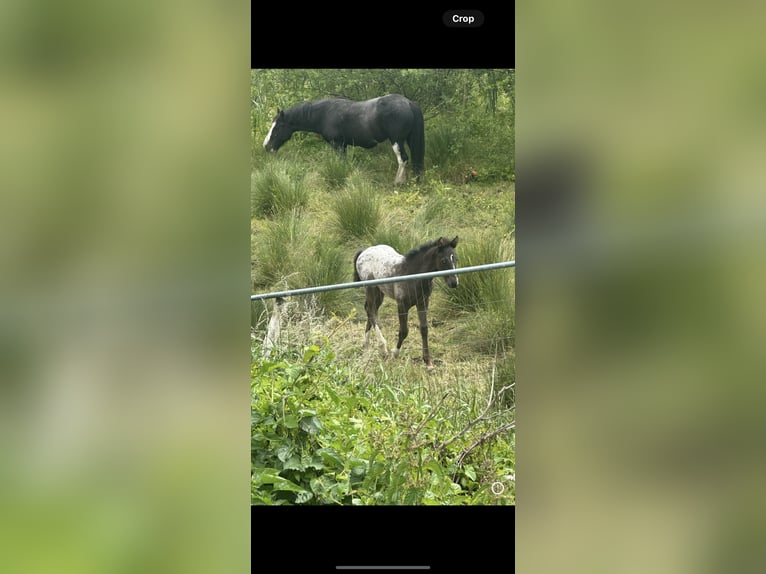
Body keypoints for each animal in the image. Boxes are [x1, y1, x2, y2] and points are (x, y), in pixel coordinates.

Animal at [260, 94, 424, 184]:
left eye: (278, 127)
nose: (266, 146)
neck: (324, 114)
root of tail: (408, 103)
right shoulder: (343, 145)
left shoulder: (337, 144)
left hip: (397, 141)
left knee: (403, 159)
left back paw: (398, 182)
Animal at [356, 237, 462, 368]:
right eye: (443, 260)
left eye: (456, 259)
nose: (454, 283)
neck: (412, 274)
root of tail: (363, 252)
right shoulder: (402, 305)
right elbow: (404, 331)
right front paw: (394, 354)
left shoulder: (423, 302)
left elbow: (424, 329)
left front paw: (428, 362)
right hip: (371, 289)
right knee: (371, 311)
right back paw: (383, 348)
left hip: (380, 292)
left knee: (370, 310)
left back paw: (366, 347)